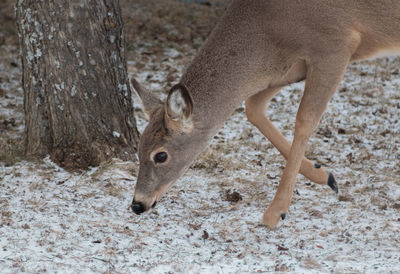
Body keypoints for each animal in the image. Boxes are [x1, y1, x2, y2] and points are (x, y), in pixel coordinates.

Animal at [130, 0, 398, 228]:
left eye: (161, 155)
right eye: (139, 147)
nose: (137, 204)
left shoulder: (335, 45)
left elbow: (305, 120)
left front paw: (275, 212)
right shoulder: (287, 68)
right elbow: (253, 107)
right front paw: (324, 175)